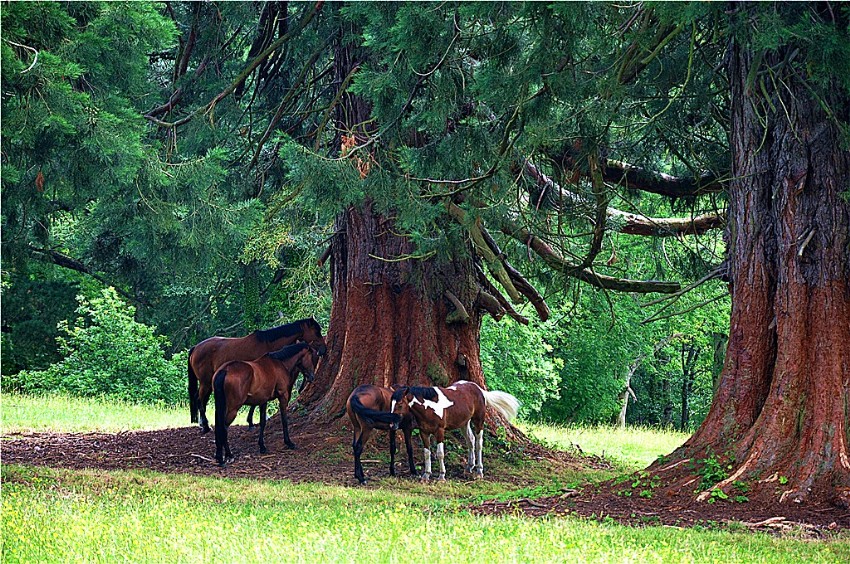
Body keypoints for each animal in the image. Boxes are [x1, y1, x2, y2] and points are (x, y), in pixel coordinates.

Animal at [190, 318, 326, 432]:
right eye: (317, 332)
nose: (323, 349)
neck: (268, 344)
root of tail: (195, 347)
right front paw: (252, 421)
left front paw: (251, 421)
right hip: (206, 382)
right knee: (199, 399)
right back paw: (206, 426)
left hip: (209, 383)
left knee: (201, 399)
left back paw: (202, 423)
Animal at [386, 378, 516, 480]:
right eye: (391, 403)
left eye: (400, 404)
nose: (392, 425)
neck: (429, 408)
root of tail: (479, 389)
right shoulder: (424, 432)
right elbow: (427, 453)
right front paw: (426, 475)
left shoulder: (439, 432)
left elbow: (440, 453)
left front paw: (441, 476)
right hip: (464, 423)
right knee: (470, 440)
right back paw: (469, 467)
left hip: (478, 421)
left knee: (479, 444)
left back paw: (479, 471)